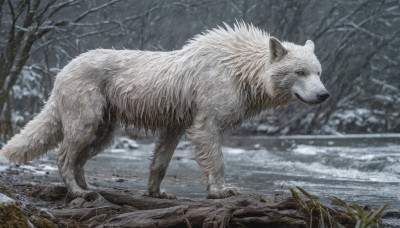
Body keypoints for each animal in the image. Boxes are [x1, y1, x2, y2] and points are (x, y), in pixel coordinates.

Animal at [0, 22, 328, 199]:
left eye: (318, 72)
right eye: (299, 72)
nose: (323, 95)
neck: (241, 72)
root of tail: (61, 72)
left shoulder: (177, 118)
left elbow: (162, 157)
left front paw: (157, 191)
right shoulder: (207, 111)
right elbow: (213, 149)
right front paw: (222, 189)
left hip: (106, 120)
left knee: (87, 150)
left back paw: (87, 183)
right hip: (86, 105)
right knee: (68, 150)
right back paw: (78, 191)